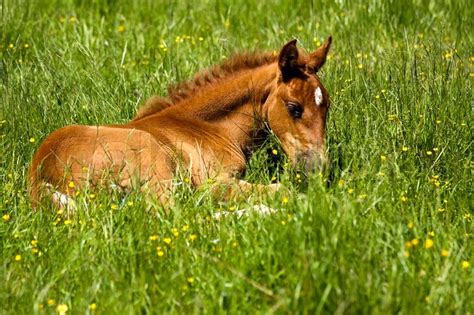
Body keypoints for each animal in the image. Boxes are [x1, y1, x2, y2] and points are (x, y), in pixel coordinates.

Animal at [29, 38, 332, 209]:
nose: (316, 168)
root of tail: (42, 175)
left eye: (326, 106)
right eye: (294, 108)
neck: (208, 127)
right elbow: (280, 190)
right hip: (156, 168)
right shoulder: (214, 180)